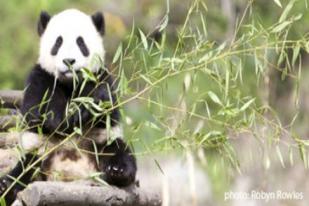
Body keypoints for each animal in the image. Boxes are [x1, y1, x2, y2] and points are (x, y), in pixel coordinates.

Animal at [0, 8, 136, 204]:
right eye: (58, 42)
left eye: (81, 43)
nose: (69, 61)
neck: (70, 82)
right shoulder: (40, 77)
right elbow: (46, 114)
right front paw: (80, 109)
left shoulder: (102, 77)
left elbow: (108, 109)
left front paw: (94, 101)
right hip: (40, 154)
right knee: (25, 169)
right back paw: (7, 185)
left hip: (99, 145)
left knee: (118, 152)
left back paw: (118, 171)